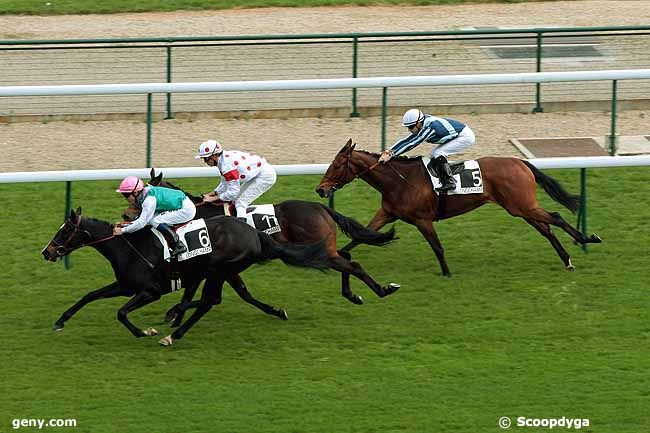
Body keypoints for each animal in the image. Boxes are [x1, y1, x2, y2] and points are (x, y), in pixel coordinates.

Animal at [44, 206, 330, 344]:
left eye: (64, 231)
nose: (46, 252)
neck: (129, 248)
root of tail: (254, 232)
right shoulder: (125, 286)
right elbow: (89, 295)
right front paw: (60, 321)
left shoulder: (151, 291)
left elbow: (121, 313)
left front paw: (145, 332)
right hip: (228, 272)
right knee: (234, 296)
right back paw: (276, 311)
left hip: (217, 269)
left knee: (210, 300)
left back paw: (173, 327)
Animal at [119, 168, 398, 324]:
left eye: (141, 196)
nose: (125, 216)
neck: (199, 213)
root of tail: (321, 207)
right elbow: (238, 293)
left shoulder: (211, 265)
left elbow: (197, 292)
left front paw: (174, 316)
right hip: (322, 248)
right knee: (347, 257)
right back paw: (354, 294)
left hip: (320, 249)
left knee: (353, 264)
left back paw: (383, 289)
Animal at [316, 138, 600, 276]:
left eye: (337, 165)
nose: (320, 189)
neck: (400, 181)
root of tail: (520, 162)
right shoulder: (387, 213)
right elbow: (361, 236)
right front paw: (337, 256)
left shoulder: (422, 220)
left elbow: (437, 247)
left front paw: (446, 273)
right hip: (520, 207)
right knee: (547, 228)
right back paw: (567, 260)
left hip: (523, 206)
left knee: (556, 216)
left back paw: (587, 238)